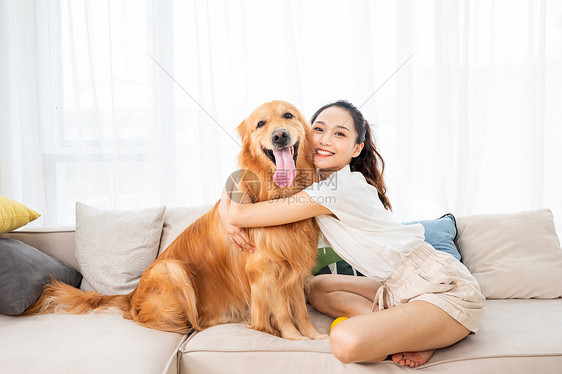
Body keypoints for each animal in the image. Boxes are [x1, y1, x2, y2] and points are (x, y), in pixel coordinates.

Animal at [25, 101, 324, 340]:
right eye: (260, 123)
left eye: (288, 115)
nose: (279, 135)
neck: (278, 194)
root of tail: (131, 295)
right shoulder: (264, 270)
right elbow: (283, 312)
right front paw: (294, 339)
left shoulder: (294, 268)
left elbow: (300, 309)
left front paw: (314, 336)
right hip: (172, 269)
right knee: (153, 319)